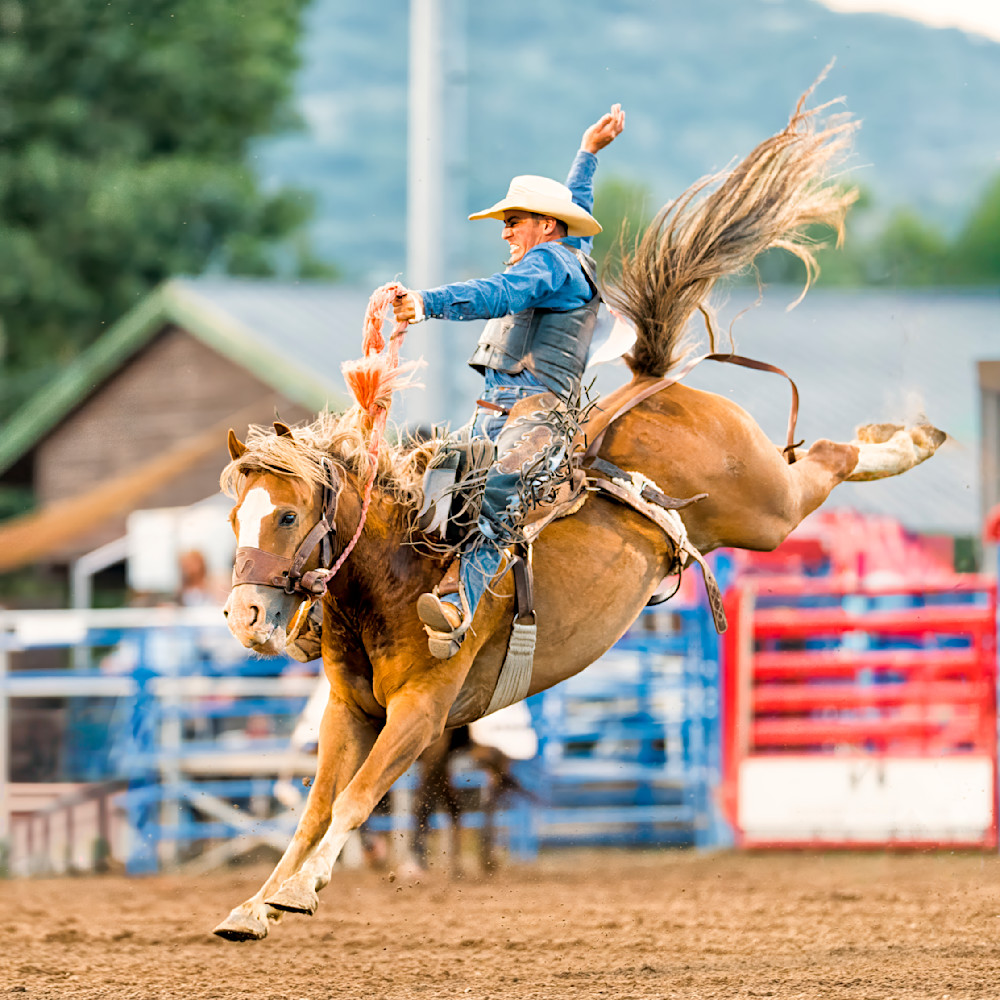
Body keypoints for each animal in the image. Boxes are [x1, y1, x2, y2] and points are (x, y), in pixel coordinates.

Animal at [212, 88, 945, 940]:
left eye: (288, 518)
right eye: (235, 518)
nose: (243, 615)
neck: (397, 575)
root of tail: (647, 382)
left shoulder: (424, 714)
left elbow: (358, 800)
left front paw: (297, 891)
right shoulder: (349, 711)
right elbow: (315, 807)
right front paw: (254, 904)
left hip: (761, 504)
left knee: (822, 459)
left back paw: (909, 439)